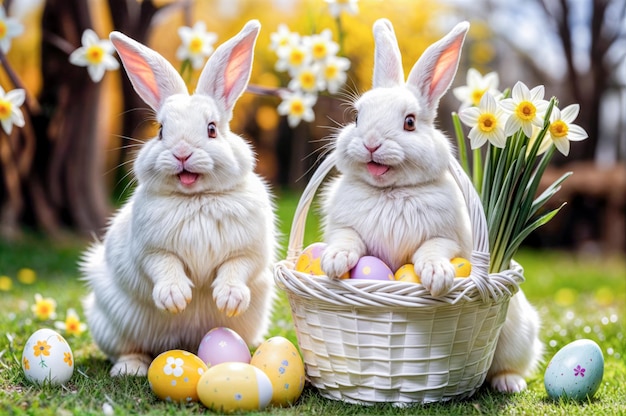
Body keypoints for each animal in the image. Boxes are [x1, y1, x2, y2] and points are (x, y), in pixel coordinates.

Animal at [80, 19, 276, 376]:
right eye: (160, 131)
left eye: (212, 129)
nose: (181, 153)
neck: (194, 197)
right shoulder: (150, 250)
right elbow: (164, 265)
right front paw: (176, 298)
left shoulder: (250, 251)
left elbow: (236, 267)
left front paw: (229, 299)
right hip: (111, 324)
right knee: (127, 349)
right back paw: (130, 368)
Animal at [320, 18, 540, 394]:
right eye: (357, 118)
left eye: (409, 122)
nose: (371, 143)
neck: (390, 192)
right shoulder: (344, 227)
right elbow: (347, 239)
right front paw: (334, 261)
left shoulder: (447, 236)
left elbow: (433, 249)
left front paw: (437, 275)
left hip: (516, 336)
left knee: (509, 365)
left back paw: (509, 384)